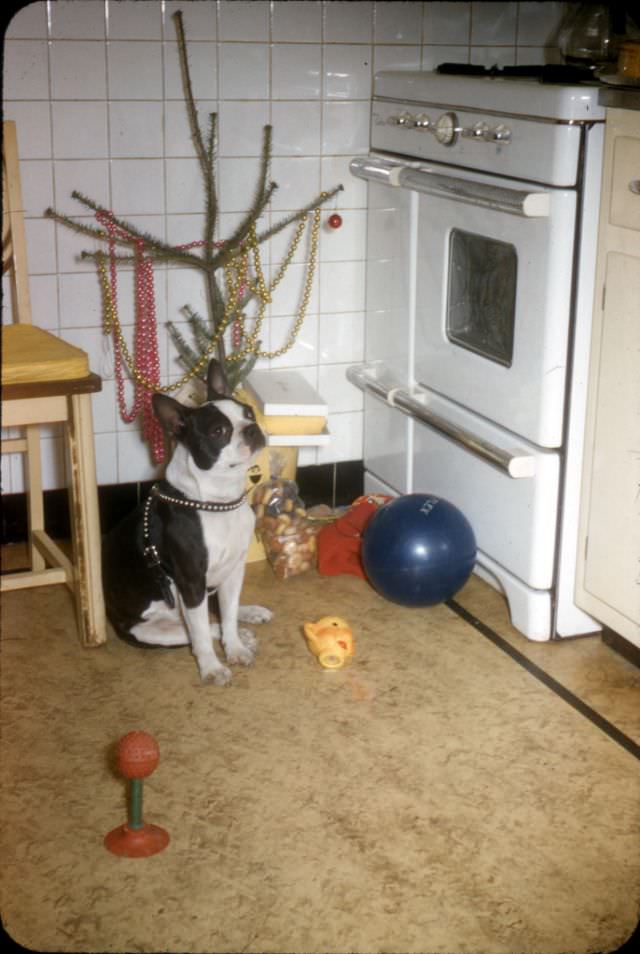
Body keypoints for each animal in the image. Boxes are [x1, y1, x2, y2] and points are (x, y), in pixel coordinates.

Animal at [102, 358, 272, 684]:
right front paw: (212, 668)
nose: (252, 428)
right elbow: (204, 634)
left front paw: (235, 648)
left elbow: (228, 613)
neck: (217, 503)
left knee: (218, 615)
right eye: (218, 431)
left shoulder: (234, 571)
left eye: (248, 413)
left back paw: (248, 616)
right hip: (152, 630)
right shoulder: (192, 581)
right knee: (201, 628)